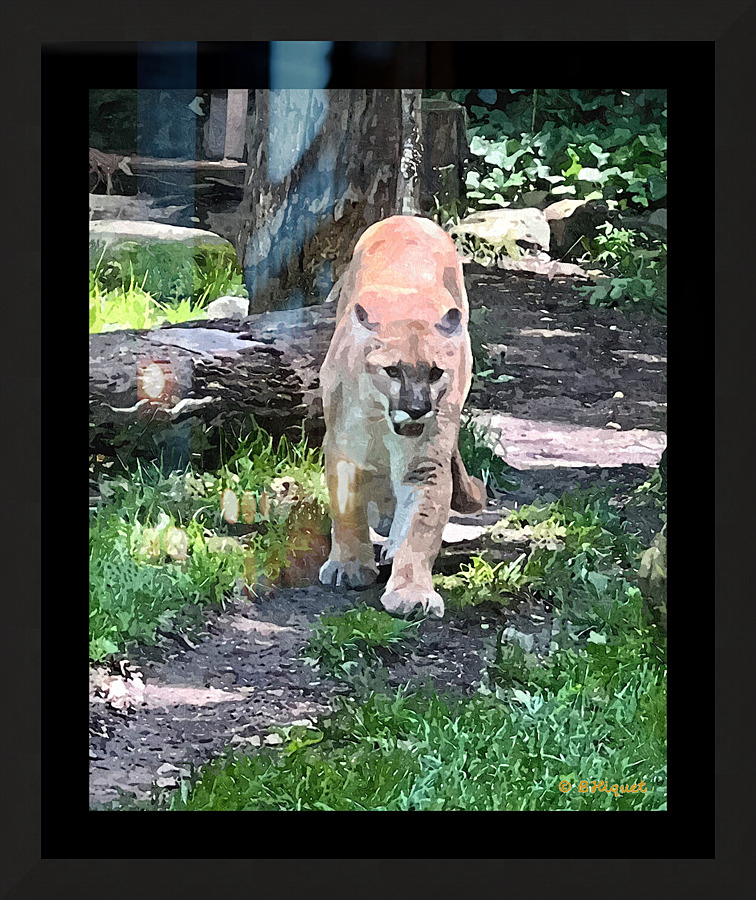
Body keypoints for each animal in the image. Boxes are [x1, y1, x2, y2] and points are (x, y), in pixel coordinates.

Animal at [318, 215, 486, 618]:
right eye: (392, 371)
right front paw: (348, 565)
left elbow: (421, 525)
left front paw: (411, 591)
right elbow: (346, 508)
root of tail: (409, 217)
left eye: (436, 373)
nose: (417, 408)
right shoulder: (343, 449)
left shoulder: (426, 461)